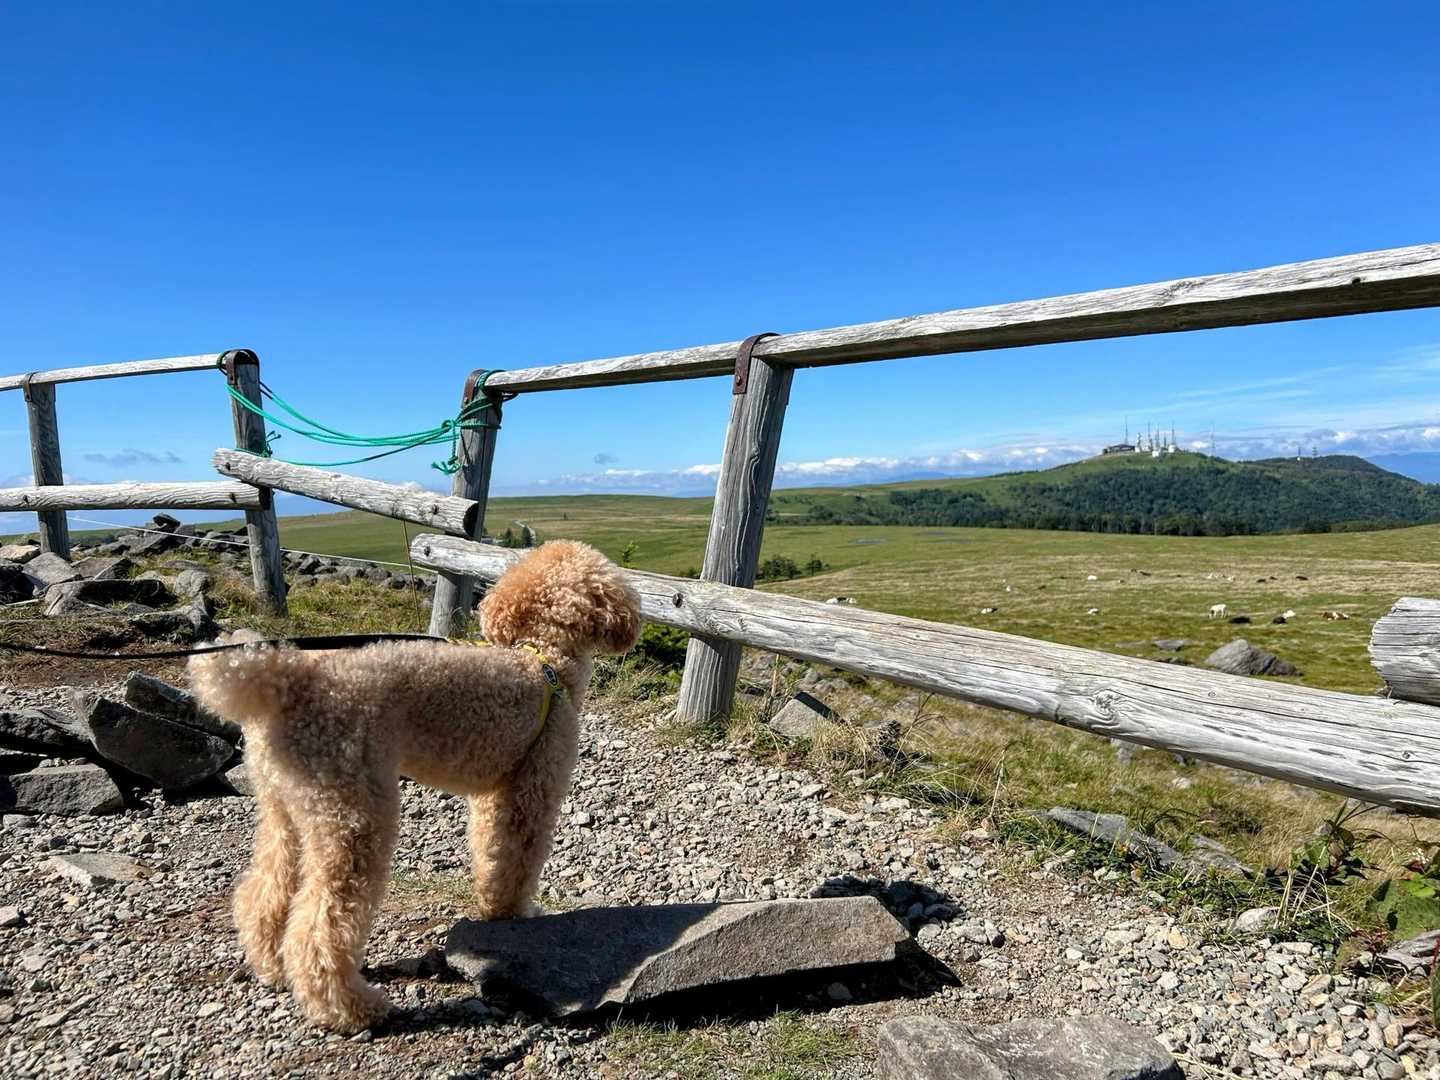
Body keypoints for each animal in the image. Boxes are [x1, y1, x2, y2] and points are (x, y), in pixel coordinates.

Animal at [189, 540, 642, 1032]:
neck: (541, 657)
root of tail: (287, 681)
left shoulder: (493, 794)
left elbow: (489, 850)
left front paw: (493, 907)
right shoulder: (532, 788)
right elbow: (518, 856)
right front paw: (515, 911)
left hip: (287, 807)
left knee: (264, 891)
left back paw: (271, 966)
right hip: (354, 810)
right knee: (319, 924)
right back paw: (352, 1007)